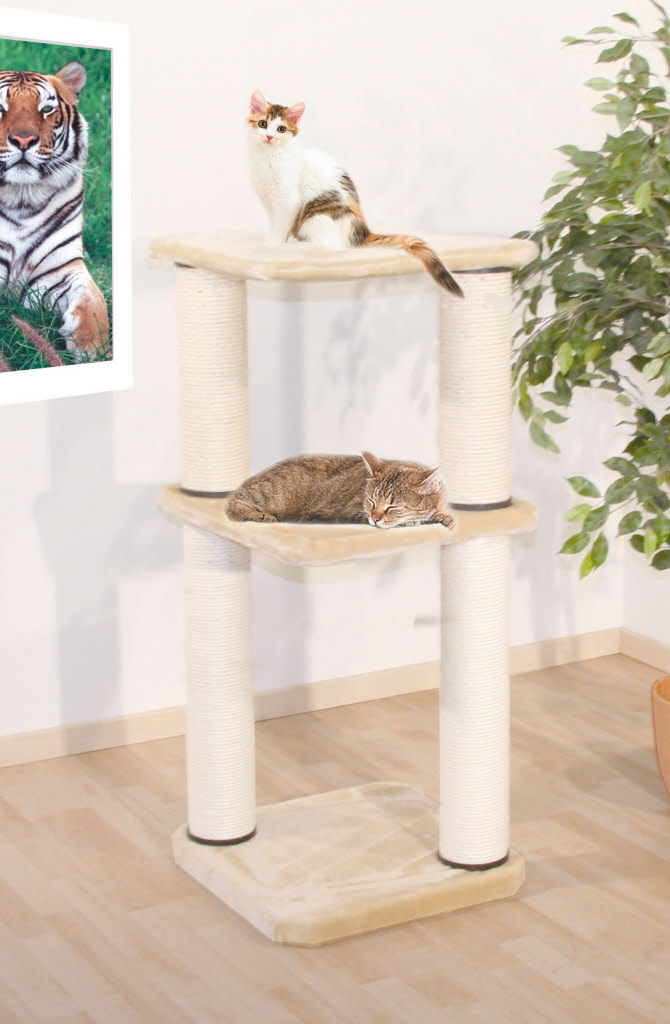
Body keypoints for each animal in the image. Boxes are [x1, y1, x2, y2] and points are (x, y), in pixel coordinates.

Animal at [226, 451, 456, 530]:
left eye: (392, 506)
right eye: (371, 501)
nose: (375, 518)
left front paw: (444, 516)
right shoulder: (351, 510)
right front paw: (411, 521)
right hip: (269, 493)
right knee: (233, 504)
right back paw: (257, 514)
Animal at [247, 90, 464, 297]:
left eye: (281, 129)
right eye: (263, 124)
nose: (269, 137)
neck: (268, 157)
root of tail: (362, 231)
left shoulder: (288, 200)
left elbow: (281, 225)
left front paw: (273, 246)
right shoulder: (269, 200)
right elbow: (277, 224)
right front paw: (274, 242)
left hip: (315, 217)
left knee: (329, 245)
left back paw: (293, 247)